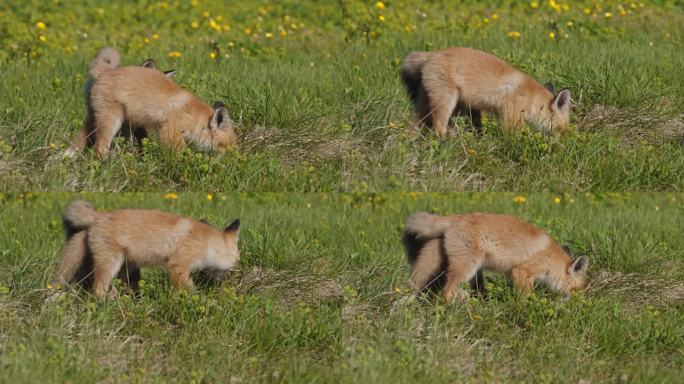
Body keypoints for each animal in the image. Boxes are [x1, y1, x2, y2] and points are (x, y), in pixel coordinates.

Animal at [56, 200, 243, 298]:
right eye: (236, 262)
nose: (225, 282)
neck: (206, 243)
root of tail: (99, 216)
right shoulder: (178, 265)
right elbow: (188, 290)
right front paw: (193, 301)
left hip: (126, 267)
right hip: (111, 263)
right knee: (98, 289)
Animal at [66, 47, 236, 158]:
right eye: (226, 146)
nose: (233, 161)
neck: (195, 118)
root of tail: (106, 73)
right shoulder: (170, 131)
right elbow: (180, 155)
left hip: (108, 120)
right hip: (112, 120)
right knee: (100, 147)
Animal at [400, 47, 572, 136]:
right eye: (562, 130)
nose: (563, 144)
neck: (532, 99)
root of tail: (434, 53)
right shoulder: (512, 117)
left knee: (414, 126)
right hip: (447, 102)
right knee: (438, 129)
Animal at [400, 213, 588, 304]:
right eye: (576, 290)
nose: (577, 304)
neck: (552, 259)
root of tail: (457, 217)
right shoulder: (522, 271)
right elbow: (524, 298)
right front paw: (526, 309)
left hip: (434, 263)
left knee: (414, 285)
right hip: (467, 267)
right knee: (447, 292)